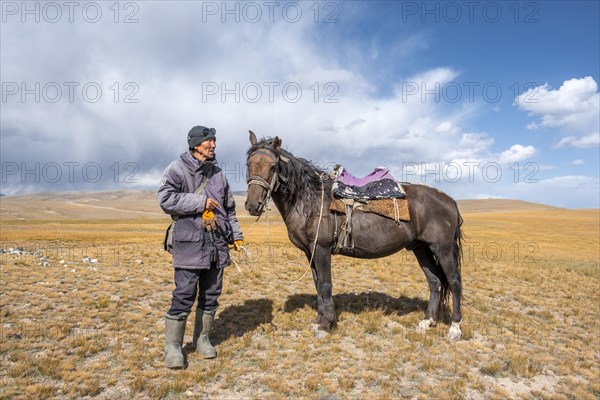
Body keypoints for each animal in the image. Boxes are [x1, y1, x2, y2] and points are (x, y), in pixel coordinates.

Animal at [244, 132, 464, 340]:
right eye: (248, 164)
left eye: (273, 166)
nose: (253, 205)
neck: (309, 202)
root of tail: (450, 200)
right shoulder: (310, 251)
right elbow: (317, 285)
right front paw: (319, 321)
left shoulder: (321, 249)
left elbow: (325, 285)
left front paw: (326, 326)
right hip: (421, 248)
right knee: (435, 281)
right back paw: (428, 321)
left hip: (442, 248)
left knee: (453, 281)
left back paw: (454, 328)